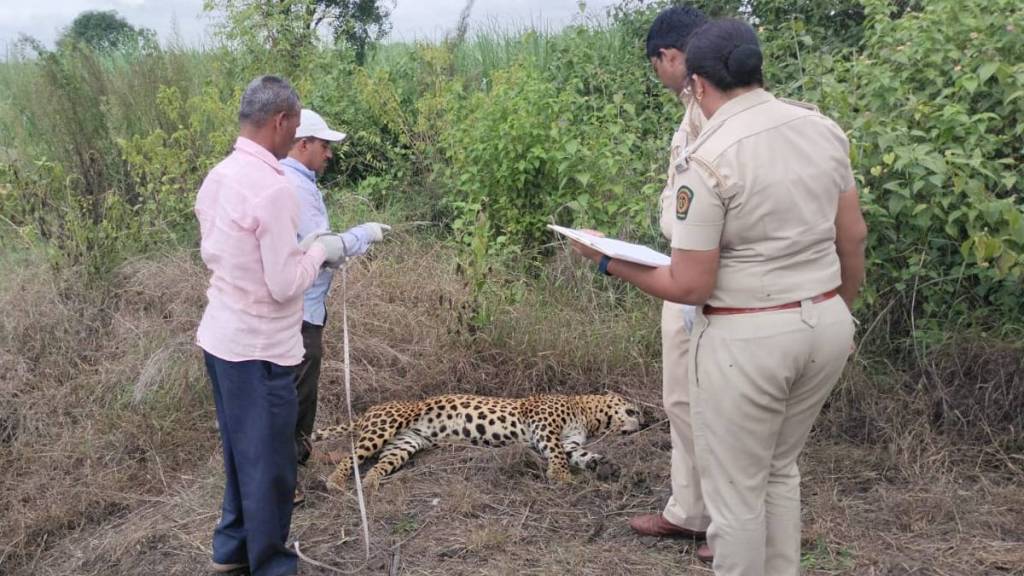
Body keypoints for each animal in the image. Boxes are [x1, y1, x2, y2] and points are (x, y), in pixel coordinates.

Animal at [310, 392, 642, 492]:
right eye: (634, 408)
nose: (646, 419)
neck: (588, 414)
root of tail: (367, 412)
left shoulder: (571, 441)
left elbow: (578, 453)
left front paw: (601, 464)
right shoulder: (544, 425)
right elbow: (557, 453)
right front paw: (560, 475)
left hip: (404, 444)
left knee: (379, 463)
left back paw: (371, 483)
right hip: (384, 427)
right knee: (351, 455)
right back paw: (335, 482)